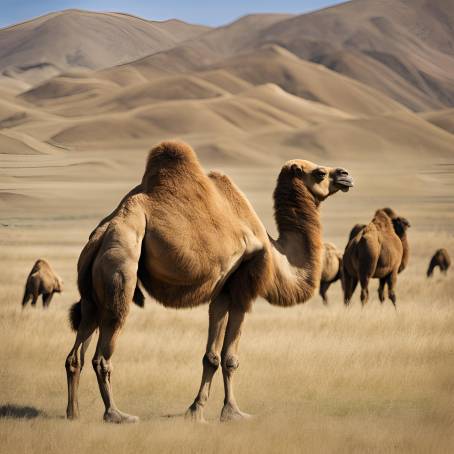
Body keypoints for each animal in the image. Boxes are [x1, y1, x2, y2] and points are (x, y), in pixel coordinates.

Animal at [65, 140, 352, 424]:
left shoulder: (222, 292)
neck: (276, 252)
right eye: (320, 173)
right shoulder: (243, 290)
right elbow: (230, 357)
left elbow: (211, 356)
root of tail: (103, 232)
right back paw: (116, 414)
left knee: (77, 350)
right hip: (121, 264)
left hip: (92, 290)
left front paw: (196, 410)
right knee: (103, 351)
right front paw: (233, 412)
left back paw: (74, 413)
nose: (345, 175)